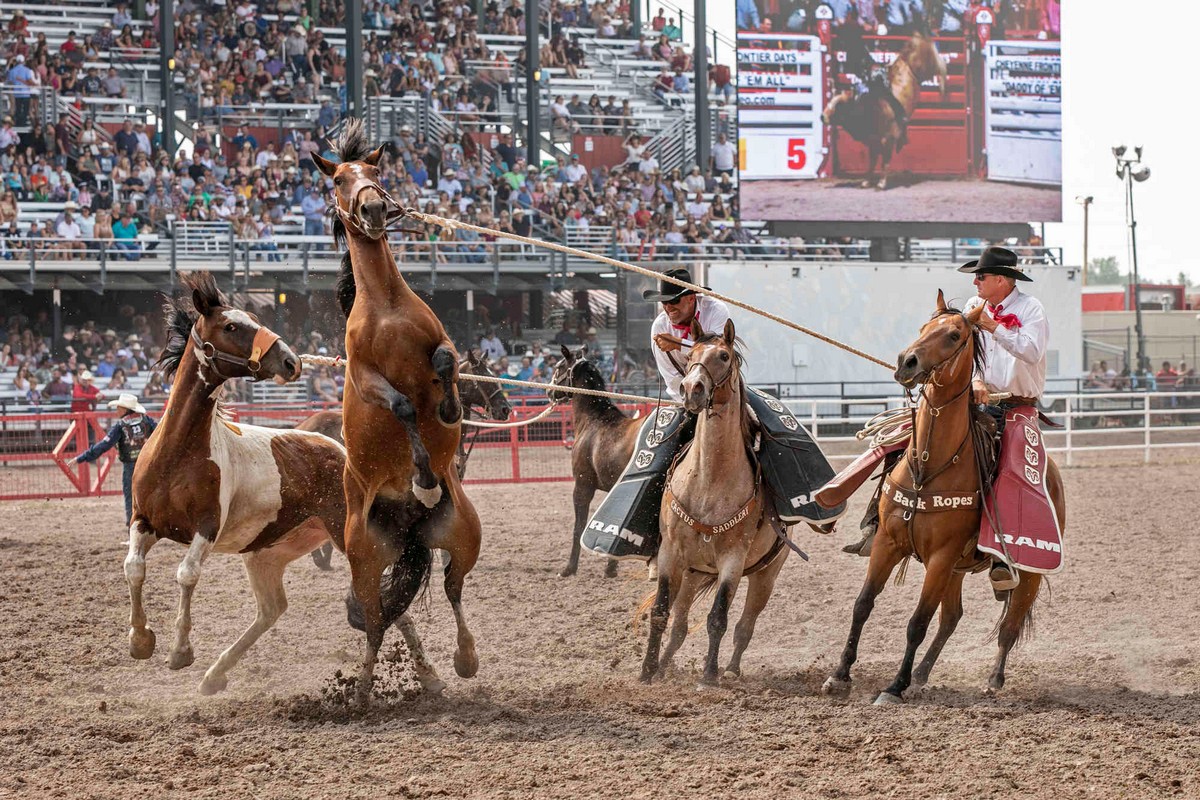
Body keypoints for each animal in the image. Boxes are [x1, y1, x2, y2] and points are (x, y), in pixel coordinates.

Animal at [316, 117, 484, 700]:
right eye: (338, 180)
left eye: (376, 173)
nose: (370, 208)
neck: (385, 307)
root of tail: (409, 528)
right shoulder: (365, 377)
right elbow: (402, 406)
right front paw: (424, 475)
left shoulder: (441, 340)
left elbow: (446, 361)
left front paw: (451, 409)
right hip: (364, 559)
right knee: (373, 620)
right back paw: (363, 688)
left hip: (465, 535)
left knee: (454, 590)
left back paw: (464, 659)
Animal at [549, 340, 643, 578]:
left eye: (558, 367)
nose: (549, 391)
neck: (595, 420)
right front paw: (611, 567)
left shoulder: (583, 485)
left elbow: (578, 526)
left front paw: (569, 568)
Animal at [643, 319, 792, 690]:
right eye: (690, 355)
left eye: (723, 356)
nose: (691, 389)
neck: (708, 482)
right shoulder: (670, 555)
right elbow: (661, 613)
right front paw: (647, 671)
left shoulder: (732, 562)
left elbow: (718, 619)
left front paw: (709, 676)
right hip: (692, 572)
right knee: (679, 626)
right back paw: (663, 665)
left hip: (765, 574)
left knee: (744, 627)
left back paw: (731, 669)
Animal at [820, 31, 950, 190]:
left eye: (839, 105)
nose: (822, 116)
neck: (870, 107)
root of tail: (904, 59)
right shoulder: (872, 141)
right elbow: (872, 161)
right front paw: (866, 181)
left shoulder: (887, 139)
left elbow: (885, 161)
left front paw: (881, 183)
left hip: (924, 66)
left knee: (938, 61)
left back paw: (943, 85)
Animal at [825, 291, 1070, 705]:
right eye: (924, 327)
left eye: (955, 335)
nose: (906, 362)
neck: (930, 464)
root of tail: (1051, 476)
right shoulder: (888, 543)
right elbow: (863, 605)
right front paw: (840, 675)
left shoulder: (941, 557)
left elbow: (917, 622)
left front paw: (894, 686)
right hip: (956, 569)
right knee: (952, 617)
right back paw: (923, 673)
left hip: (1027, 572)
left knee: (1009, 625)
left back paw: (993, 680)